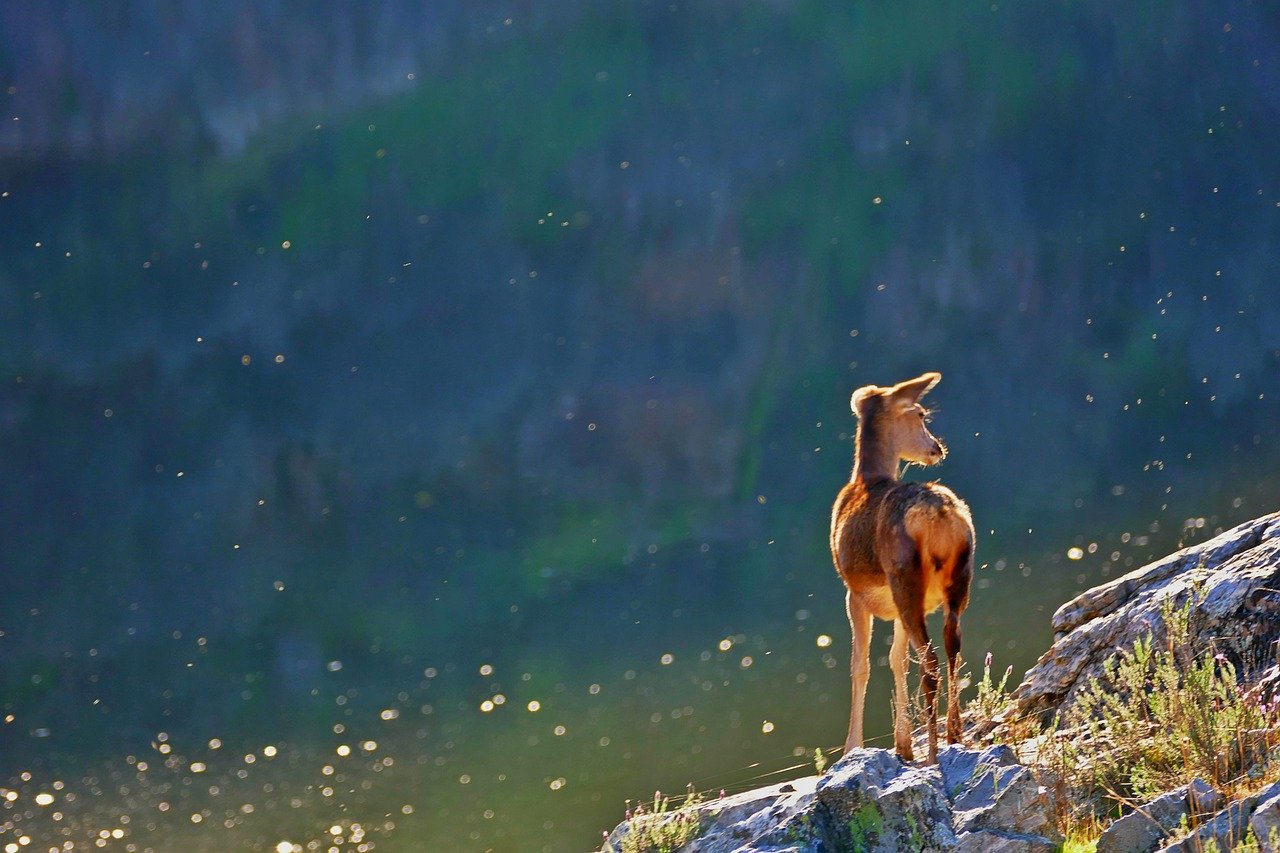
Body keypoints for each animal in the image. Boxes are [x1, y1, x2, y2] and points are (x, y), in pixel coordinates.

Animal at [830, 372, 975, 765]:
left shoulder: (854, 593)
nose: (937, 448)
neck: (865, 480)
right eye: (921, 414)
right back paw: (953, 732)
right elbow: (896, 660)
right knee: (952, 642)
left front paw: (853, 748)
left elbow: (860, 666)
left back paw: (935, 750)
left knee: (931, 658)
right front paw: (902, 743)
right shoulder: (890, 606)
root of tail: (938, 516)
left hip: (903, 577)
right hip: (959, 574)